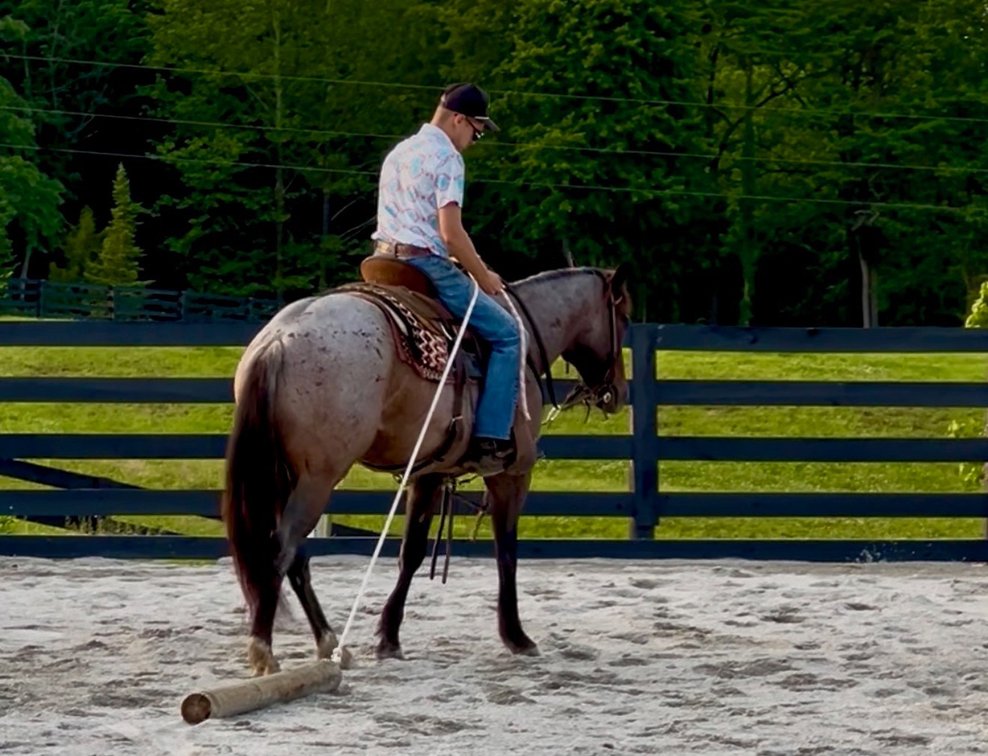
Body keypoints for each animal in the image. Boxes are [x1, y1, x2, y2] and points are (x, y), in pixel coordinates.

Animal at [221, 262, 631, 676]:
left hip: (284, 476)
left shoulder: (428, 472)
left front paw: (388, 638)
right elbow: (506, 551)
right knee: (280, 549)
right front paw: (517, 636)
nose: (617, 393)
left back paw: (329, 643)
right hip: (316, 478)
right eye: (624, 317)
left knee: (295, 557)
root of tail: (279, 341)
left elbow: (412, 552)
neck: (526, 339)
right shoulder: (511, 473)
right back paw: (265, 651)